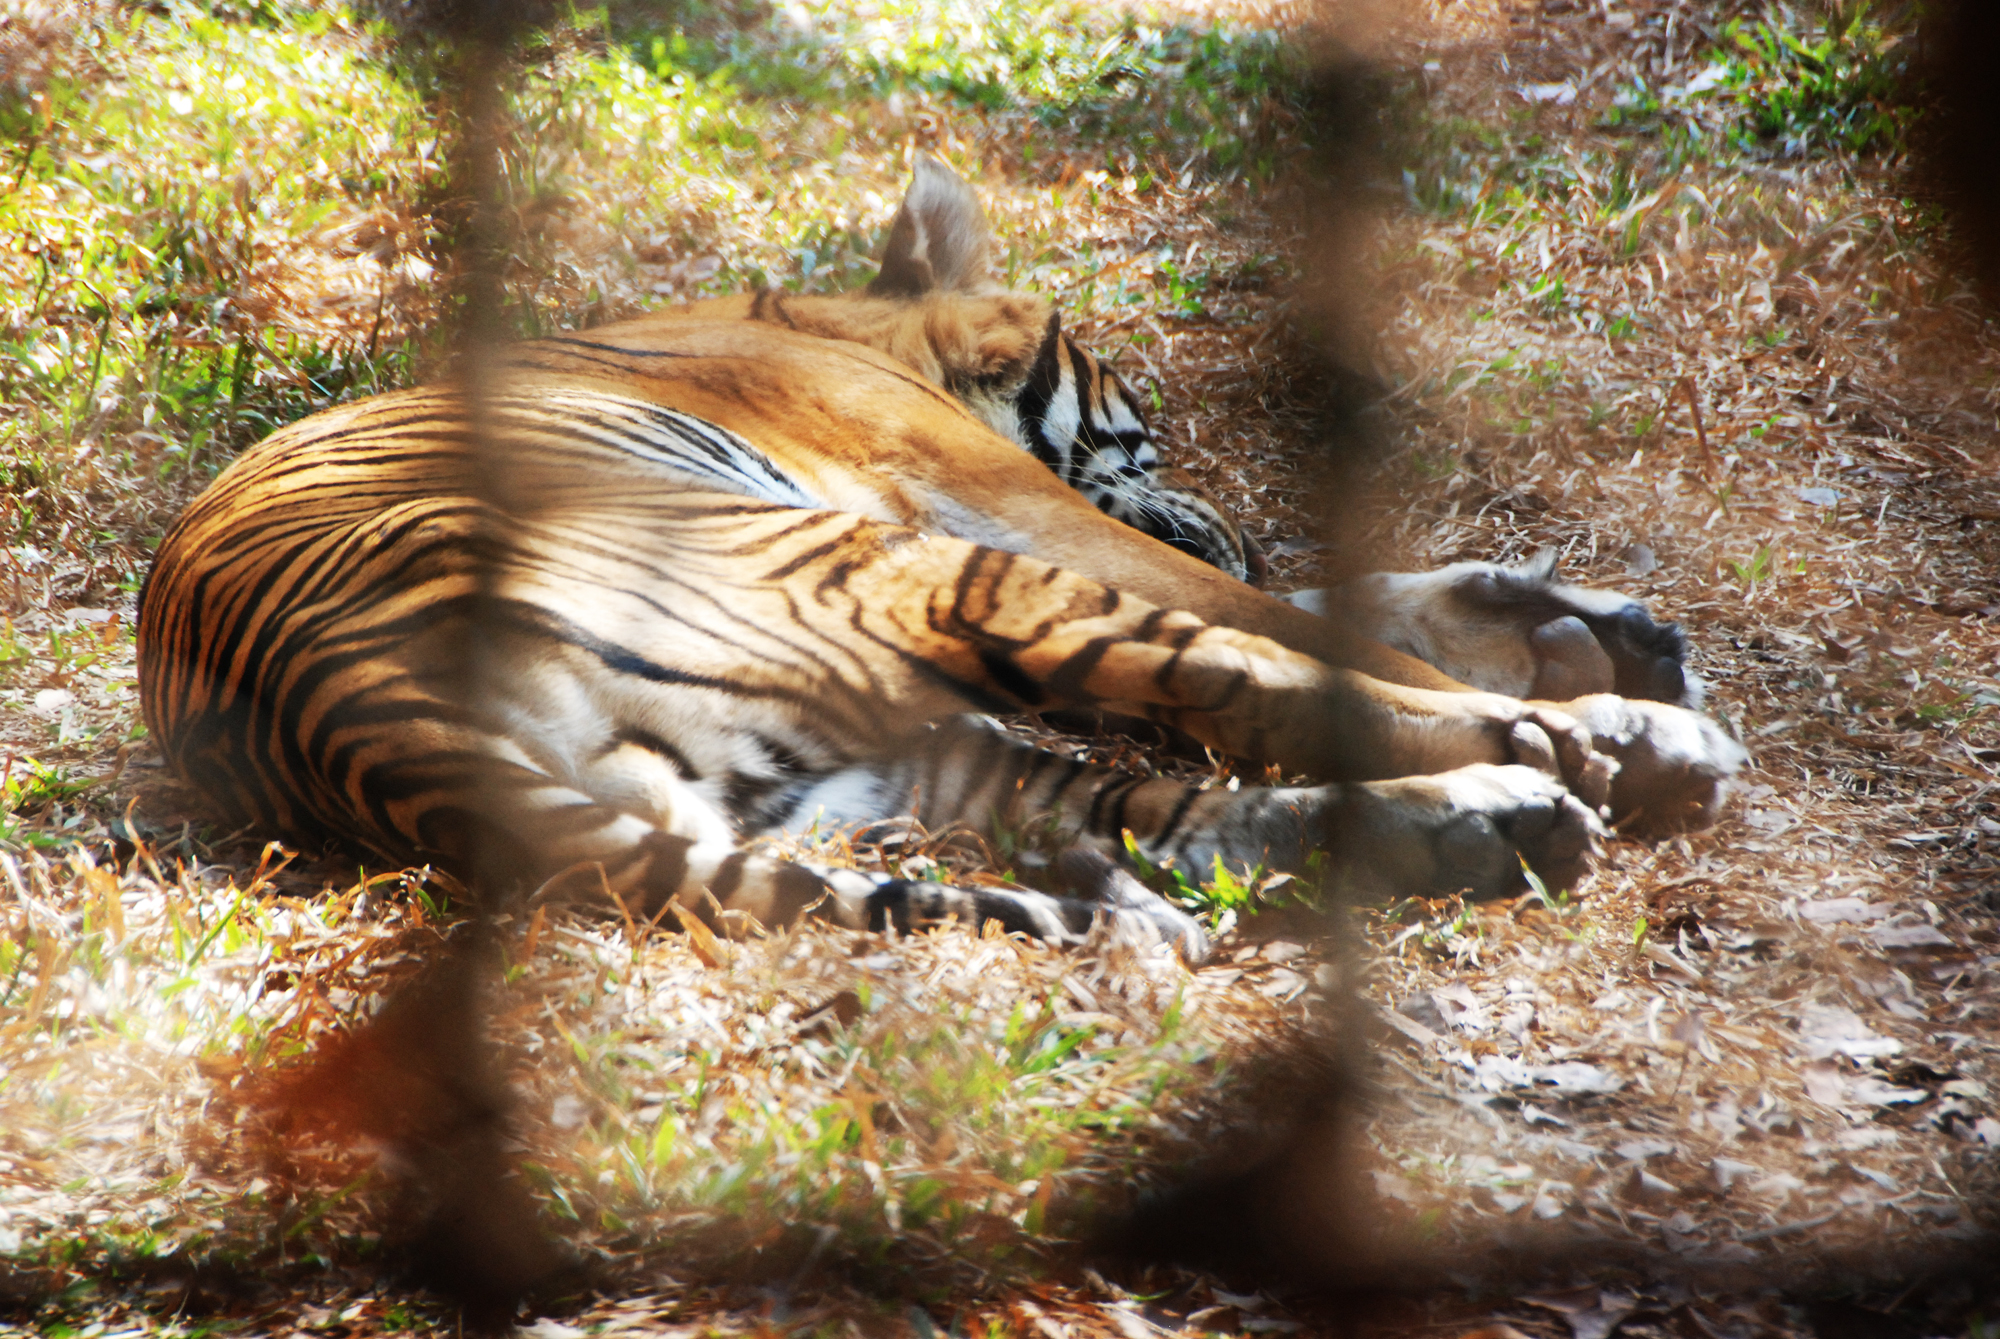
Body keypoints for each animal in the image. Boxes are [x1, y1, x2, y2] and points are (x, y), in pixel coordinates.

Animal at [137, 157, 1736, 959]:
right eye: (1143, 422)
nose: (1225, 504)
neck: (850, 325)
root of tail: (336, 707)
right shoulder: (999, 505)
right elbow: (1268, 609)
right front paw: (1581, 667)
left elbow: (1303, 596)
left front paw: (1569, 623)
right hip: (911, 581)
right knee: (1237, 688)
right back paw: (1601, 744)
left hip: (863, 755)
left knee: (1144, 802)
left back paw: (1495, 823)